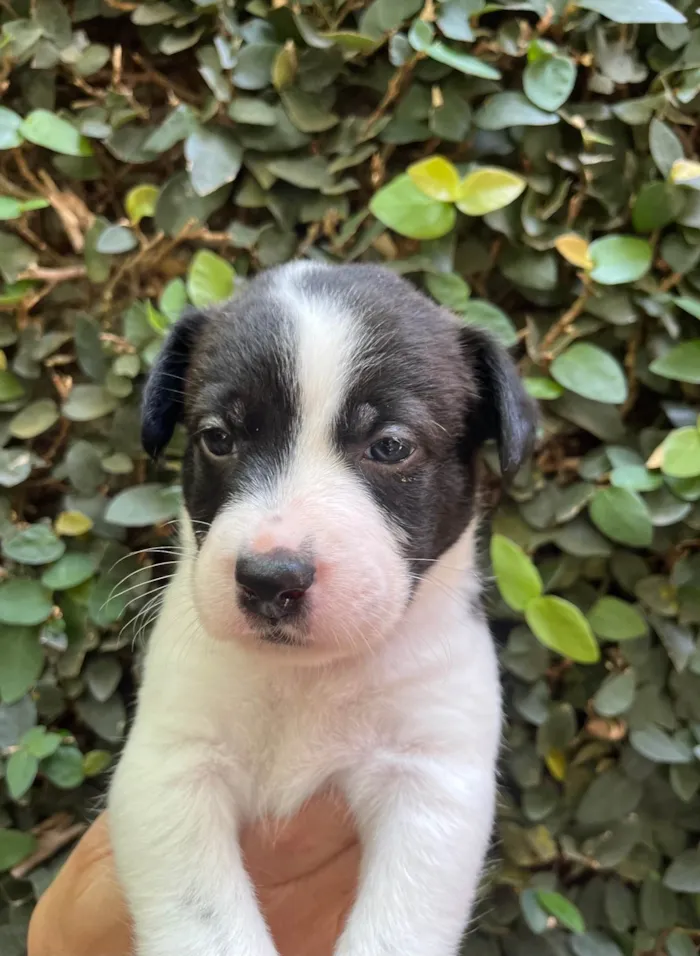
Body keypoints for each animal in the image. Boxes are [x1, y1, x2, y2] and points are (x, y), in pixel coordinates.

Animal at [108, 260, 536, 956]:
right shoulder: (169, 769)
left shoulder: (431, 781)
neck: (305, 679)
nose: (269, 580)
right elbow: (206, 924)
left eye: (390, 446)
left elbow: (397, 930)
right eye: (218, 438)